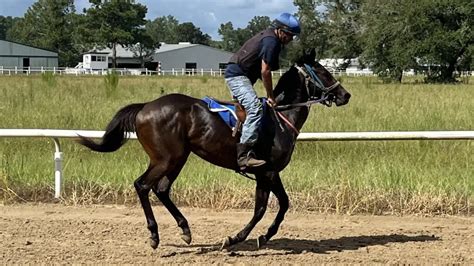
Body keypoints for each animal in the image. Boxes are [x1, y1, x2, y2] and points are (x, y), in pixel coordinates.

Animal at [78, 48, 352, 250]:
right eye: (323, 71)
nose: (345, 95)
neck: (280, 118)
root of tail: (145, 107)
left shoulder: (265, 174)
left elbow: (271, 206)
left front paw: (258, 237)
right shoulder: (268, 171)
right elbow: (273, 206)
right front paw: (238, 238)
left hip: (178, 158)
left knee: (162, 189)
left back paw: (185, 230)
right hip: (165, 159)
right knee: (143, 185)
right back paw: (154, 235)